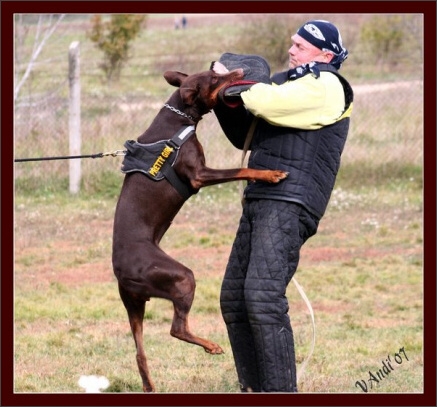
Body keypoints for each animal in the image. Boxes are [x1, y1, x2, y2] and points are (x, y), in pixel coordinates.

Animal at [111, 67, 286, 392]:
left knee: (140, 354)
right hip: (182, 278)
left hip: (133, 306)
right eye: (215, 79)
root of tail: (121, 273)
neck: (179, 117)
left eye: (212, 71)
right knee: (176, 329)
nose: (238, 70)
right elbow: (242, 169)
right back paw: (212, 346)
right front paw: (269, 174)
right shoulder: (199, 175)